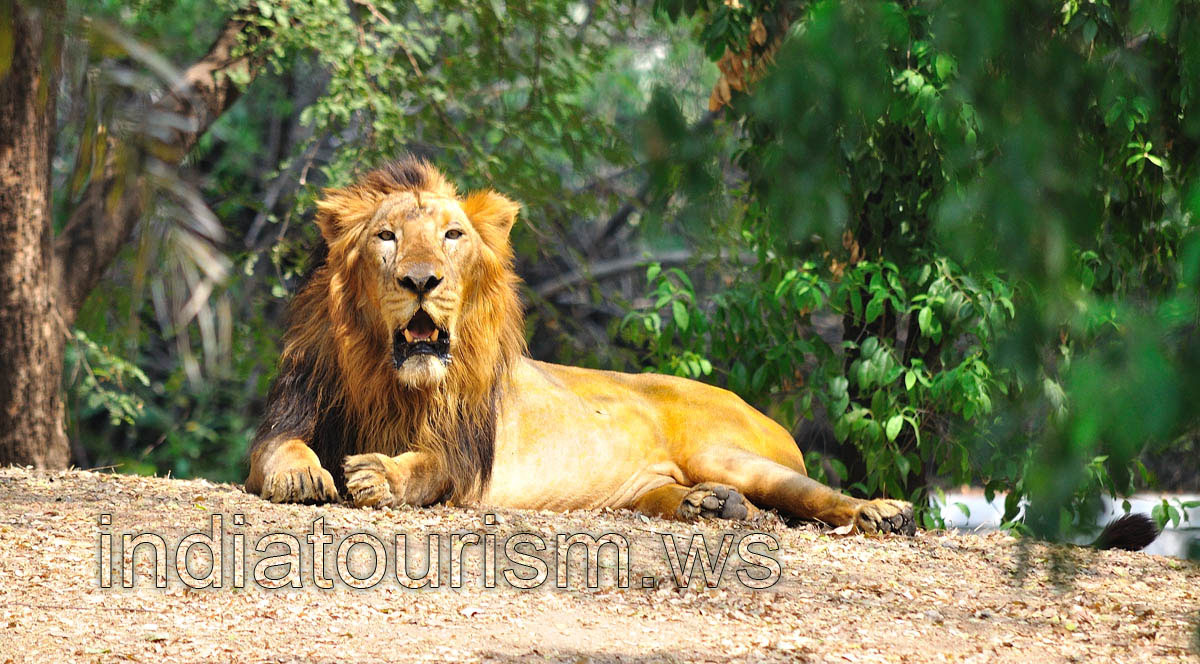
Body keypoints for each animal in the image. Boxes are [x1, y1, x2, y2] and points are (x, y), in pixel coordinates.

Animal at [245, 157, 915, 535]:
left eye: (452, 235)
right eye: (386, 236)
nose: (420, 280)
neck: (388, 377)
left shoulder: (464, 455)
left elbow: (426, 468)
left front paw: (378, 473)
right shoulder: (293, 411)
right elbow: (278, 452)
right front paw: (303, 475)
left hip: (730, 453)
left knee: (814, 493)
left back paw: (880, 512)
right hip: (648, 489)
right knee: (689, 498)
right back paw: (713, 508)